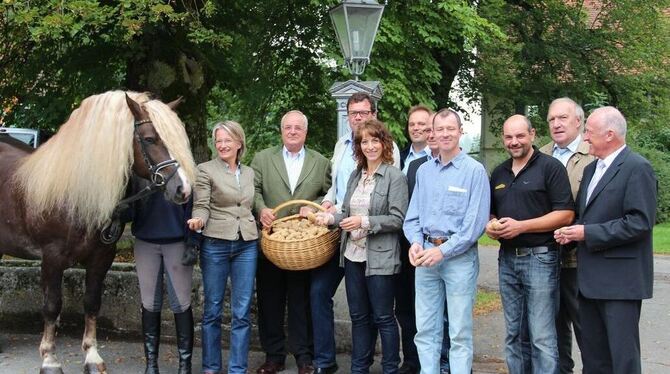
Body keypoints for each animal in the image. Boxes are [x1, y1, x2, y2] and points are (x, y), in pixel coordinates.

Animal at [0, 91, 197, 374]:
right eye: (150, 139)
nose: (183, 189)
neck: (77, 191)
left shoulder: (102, 256)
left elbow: (92, 302)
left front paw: (92, 357)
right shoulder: (52, 257)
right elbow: (52, 305)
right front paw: (50, 359)